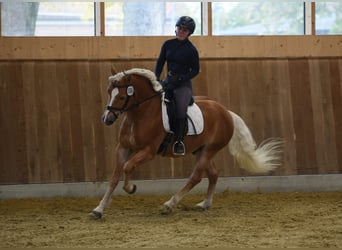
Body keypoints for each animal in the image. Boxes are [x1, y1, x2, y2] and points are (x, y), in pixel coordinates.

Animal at [90, 67, 280, 218]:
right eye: (109, 92)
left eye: (122, 97)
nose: (106, 119)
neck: (141, 114)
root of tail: (225, 111)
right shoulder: (122, 148)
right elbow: (115, 177)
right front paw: (99, 209)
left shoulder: (149, 151)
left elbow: (128, 167)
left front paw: (130, 188)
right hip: (200, 149)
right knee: (213, 174)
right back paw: (205, 204)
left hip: (210, 149)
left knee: (196, 176)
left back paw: (169, 205)